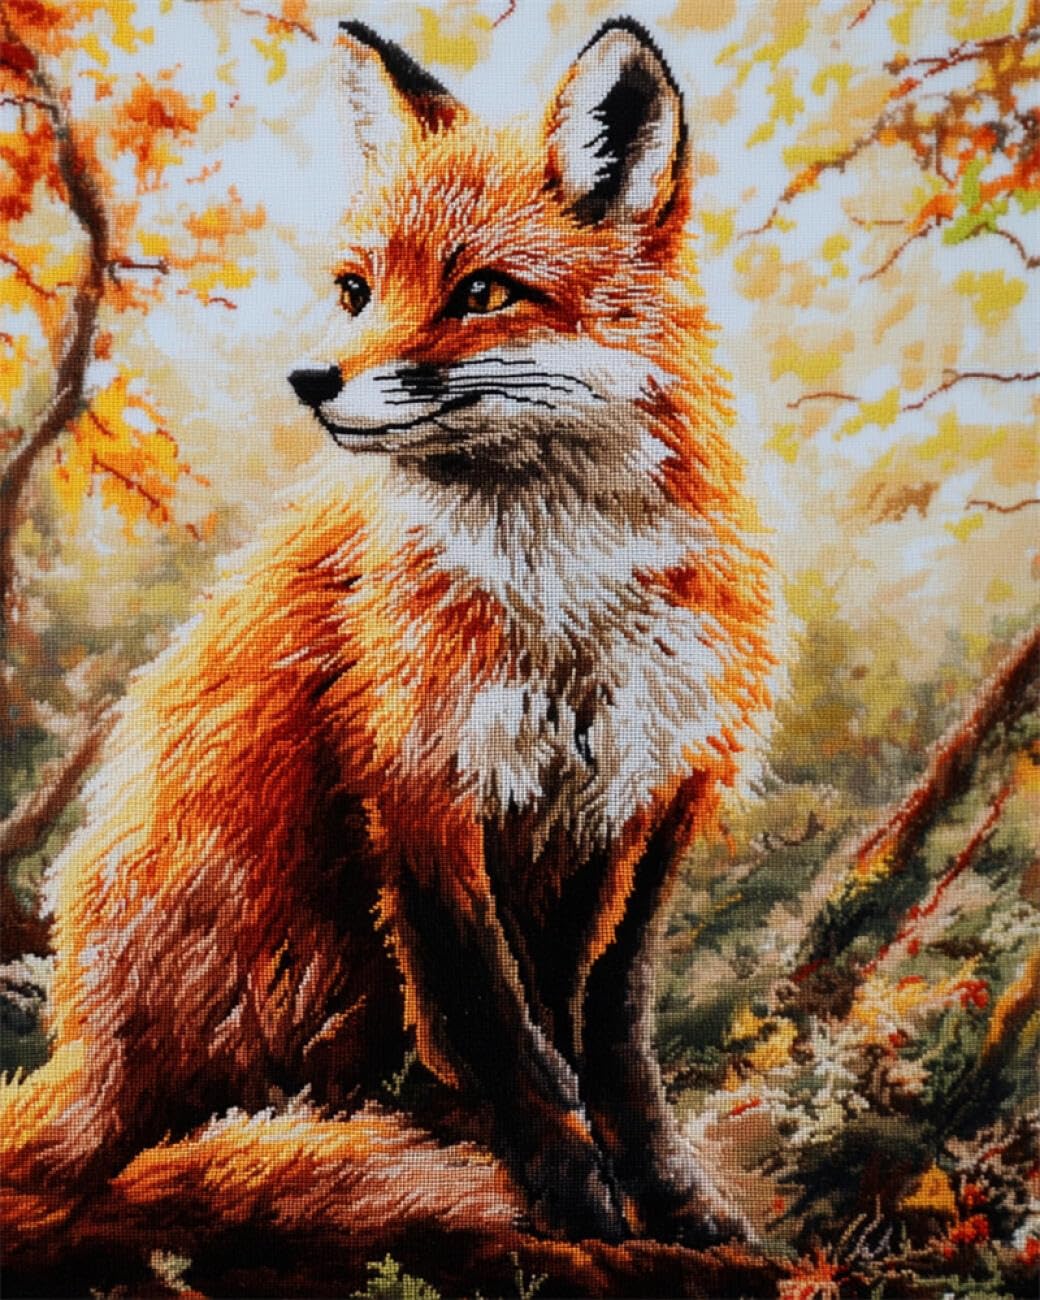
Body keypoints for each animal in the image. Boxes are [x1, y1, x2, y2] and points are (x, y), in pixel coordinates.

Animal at [1, 15, 775, 1289]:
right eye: (357, 289)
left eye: (481, 291)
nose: (313, 380)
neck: (565, 605)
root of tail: (82, 1052)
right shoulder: (418, 780)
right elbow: (494, 1023)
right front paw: (571, 1196)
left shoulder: (651, 792)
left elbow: (607, 1029)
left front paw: (670, 1195)